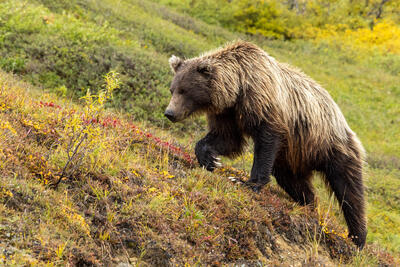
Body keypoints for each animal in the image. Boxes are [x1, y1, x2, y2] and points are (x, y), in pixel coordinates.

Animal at [164, 40, 368, 249]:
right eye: (173, 89)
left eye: (184, 90)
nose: (169, 113)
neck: (238, 89)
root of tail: (341, 117)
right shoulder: (227, 113)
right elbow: (227, 139)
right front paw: (211, 159)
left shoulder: (264, 105)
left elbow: (266, 142)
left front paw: (247, 182)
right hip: (294, 156)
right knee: (293, 180)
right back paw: (308, 204)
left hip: (329, 145)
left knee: (349, 189)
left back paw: (357, 236)